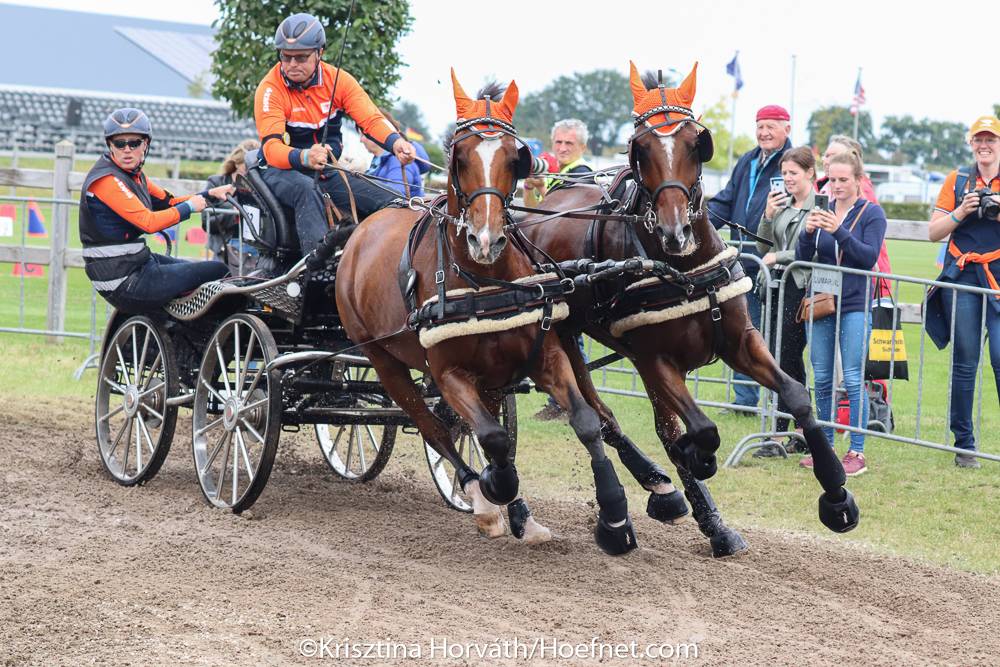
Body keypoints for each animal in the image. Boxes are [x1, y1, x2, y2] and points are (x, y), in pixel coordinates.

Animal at [335, 70, 642, 554]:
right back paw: (482, 497)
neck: (485, 282)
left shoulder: (543, 355)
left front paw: (613, 517)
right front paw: (493, 488)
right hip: (385, 362)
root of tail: (361, 228)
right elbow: (490, 438)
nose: (485, 239)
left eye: (515, 158)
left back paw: (519, 515)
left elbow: (584, 421)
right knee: (433, 427)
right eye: (459, 158)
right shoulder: (448, 374)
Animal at [517, 62, 860, 557]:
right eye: (640, 148)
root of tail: (535, 211)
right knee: (600, 416)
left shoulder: (740, 341)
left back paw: (683, 502)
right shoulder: (656, 359)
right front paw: (696, 461)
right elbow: (699, 430)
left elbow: (795, 394)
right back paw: (652, 493)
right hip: (564, 338)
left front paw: (837, 497)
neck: (682, 268)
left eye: (697, 142)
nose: (676, 230)